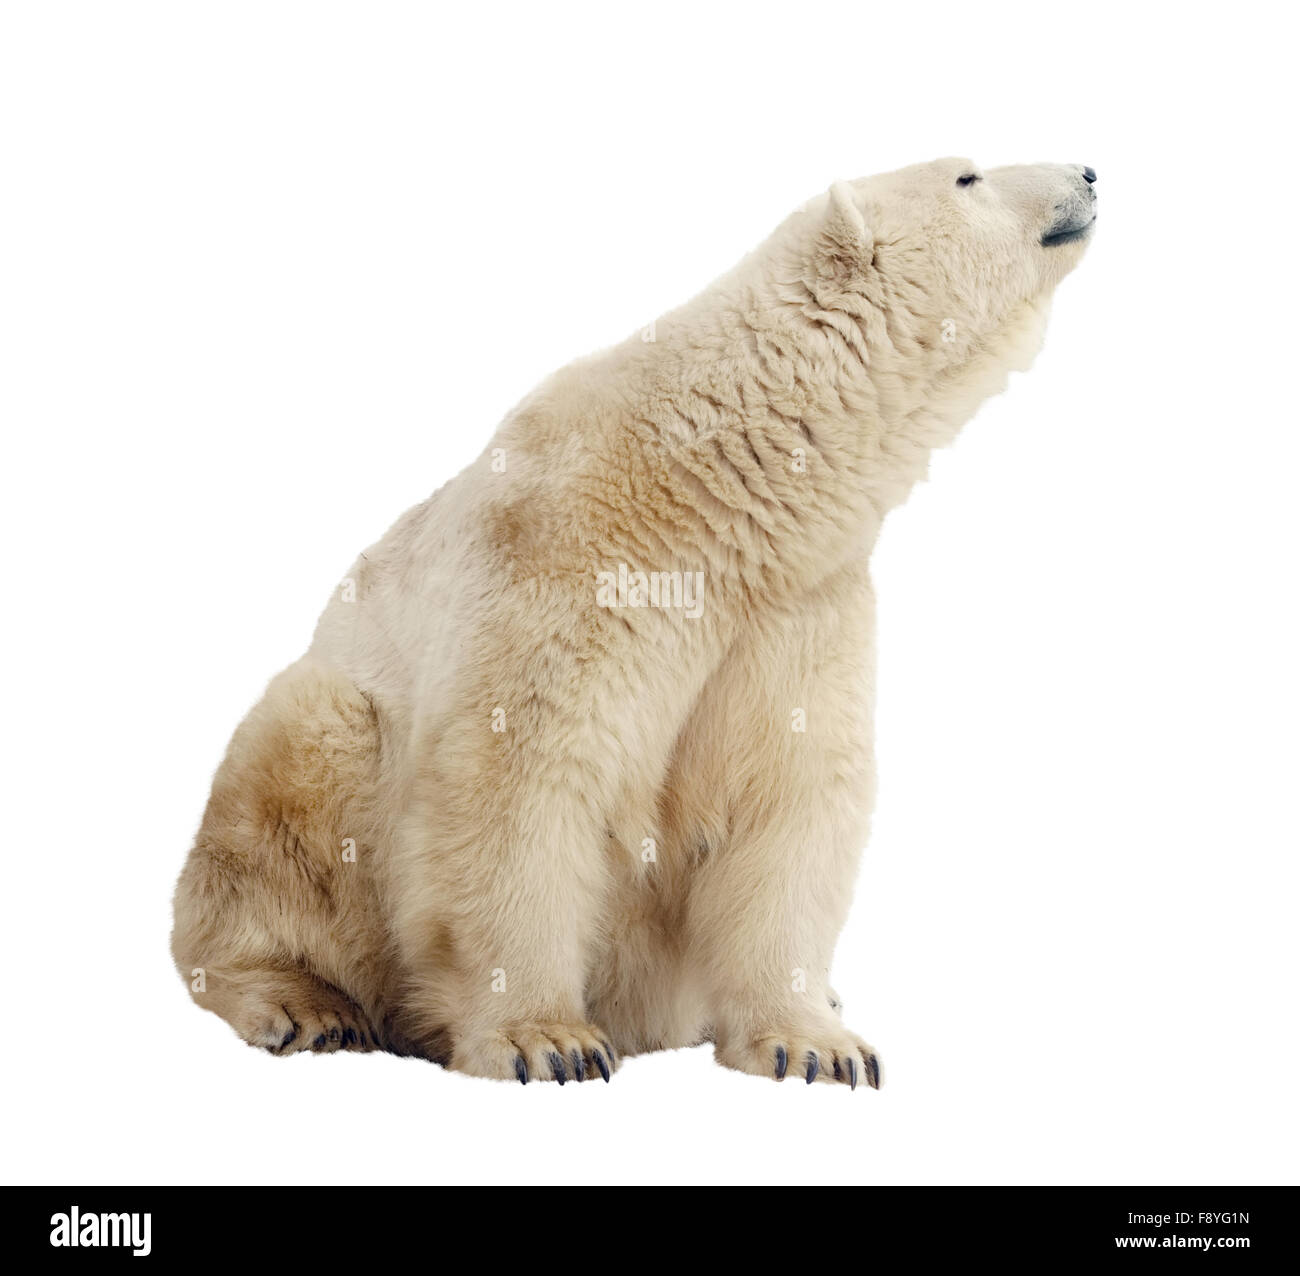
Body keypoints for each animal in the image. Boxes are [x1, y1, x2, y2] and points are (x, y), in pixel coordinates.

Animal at [172, 157, 1096, 1085]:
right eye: (967, 175)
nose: (1088, 172)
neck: (714, 481)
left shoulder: (794, 607)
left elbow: (790, 793)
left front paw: (818, 1044)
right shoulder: (567, 560)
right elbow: (517, 779)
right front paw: (547, 1039)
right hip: (328, 755)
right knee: (289, 792)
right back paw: (304, 1004)